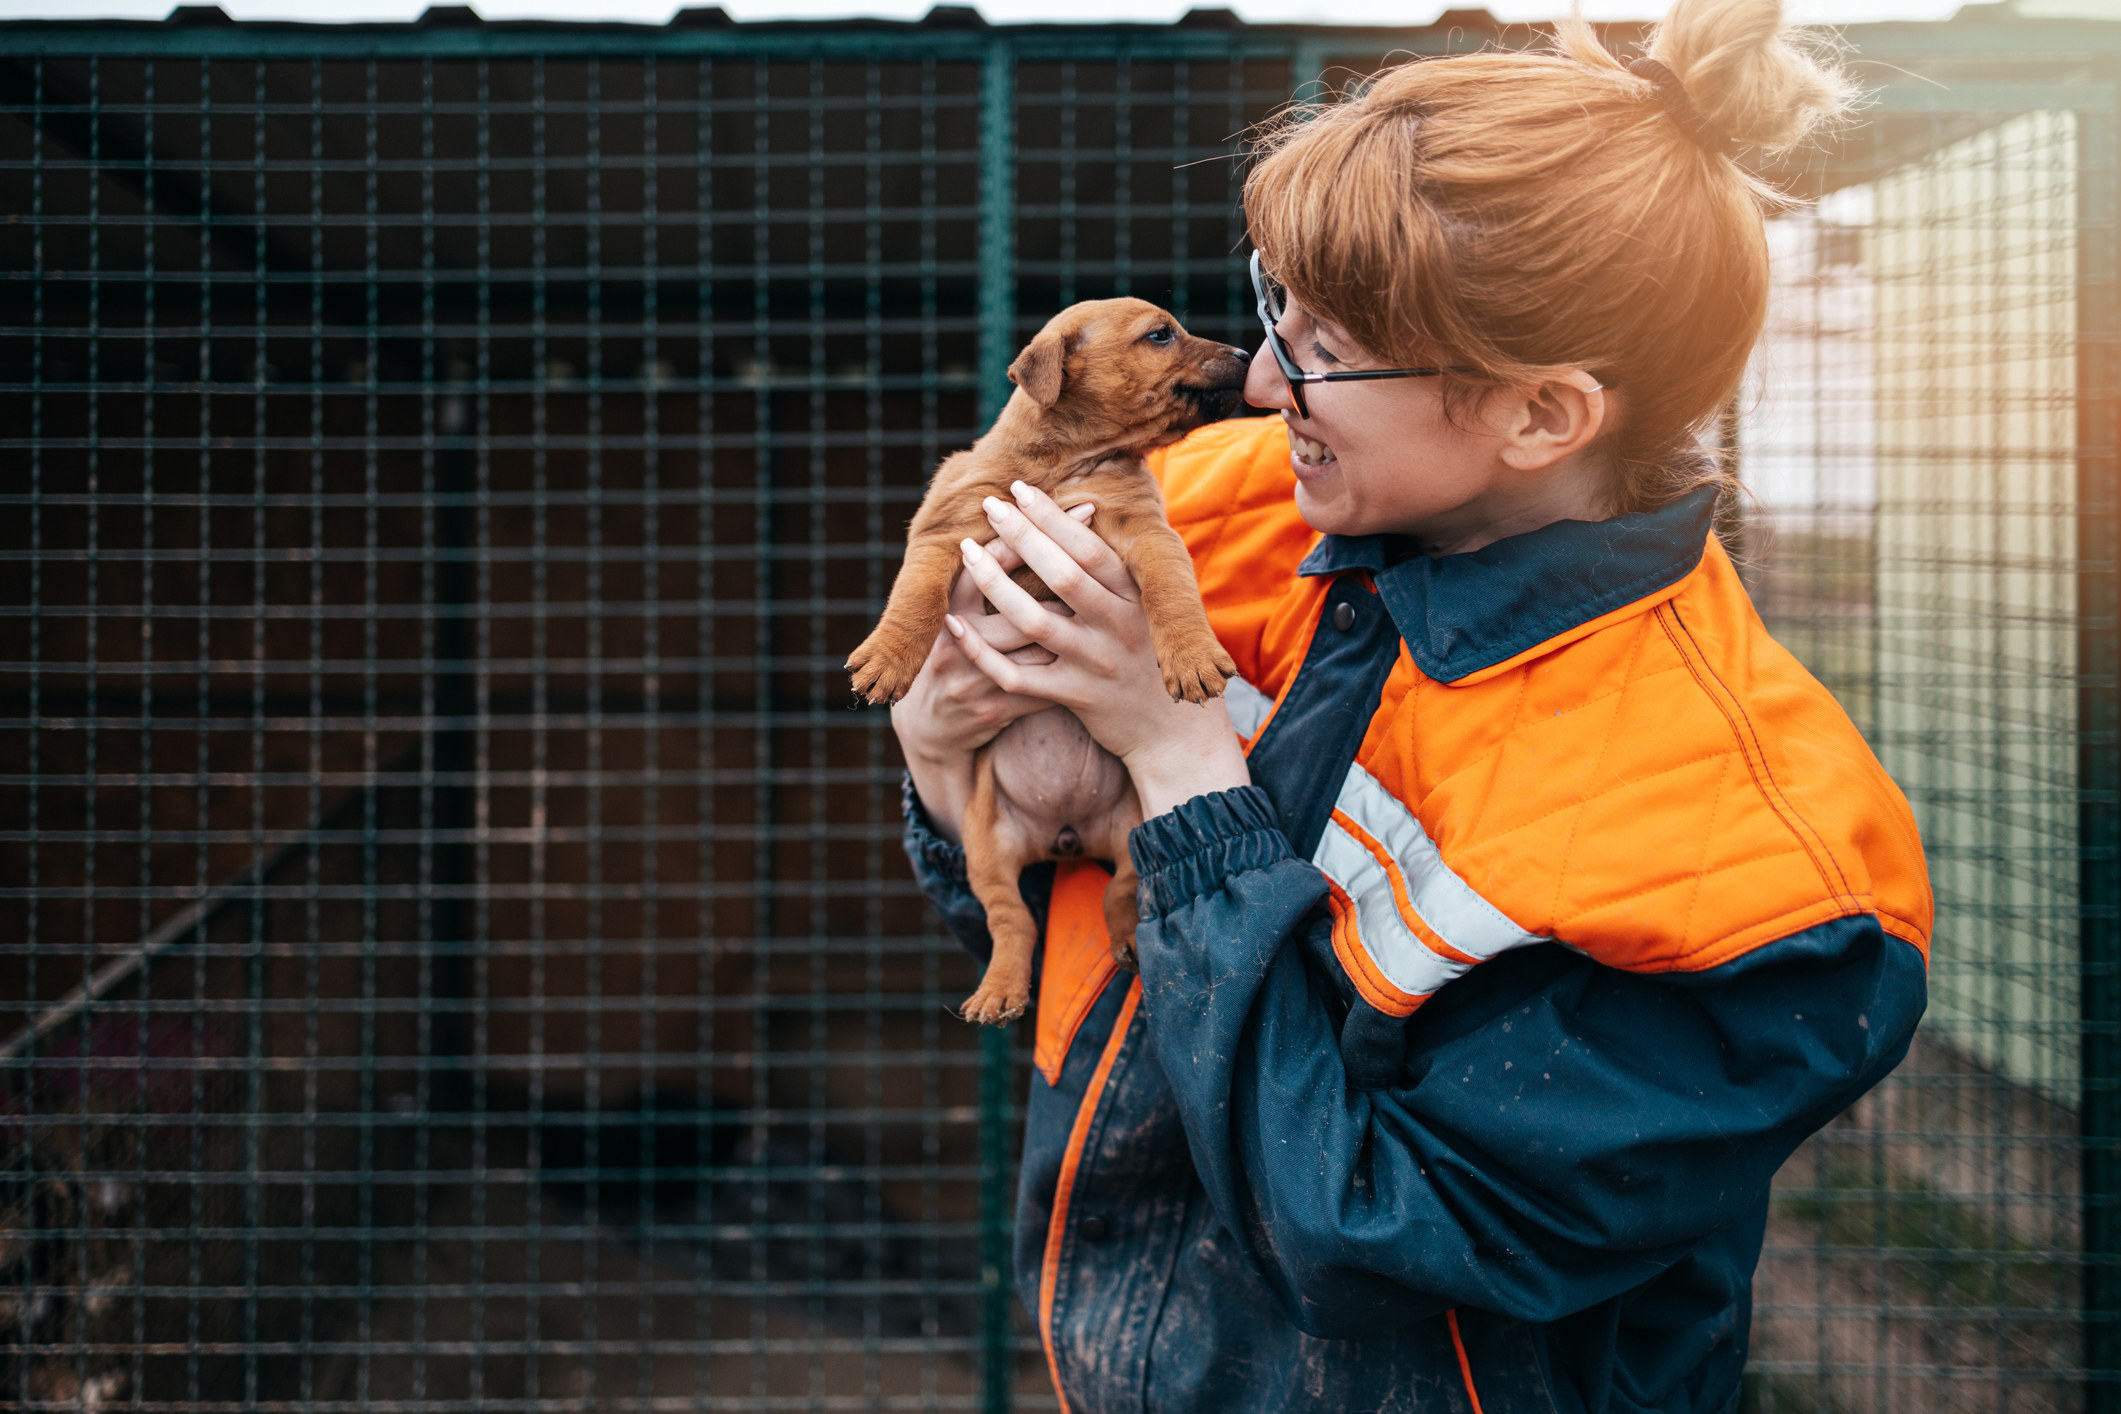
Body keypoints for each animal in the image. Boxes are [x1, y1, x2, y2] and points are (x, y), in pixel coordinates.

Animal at [844, 301, 1238, 1030]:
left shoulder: (1148, 532)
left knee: (1119, 895)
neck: (1064, 463)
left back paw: (1125, 948)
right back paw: (998, 991)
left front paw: (1192, 656)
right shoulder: (947, 530)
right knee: (1012, 924)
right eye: (1160, 335)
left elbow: (1172, 591)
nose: (1244, 351)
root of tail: (1067, 838)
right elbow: (916, 595)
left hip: (1138, 827)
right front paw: (888, 658)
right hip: (986, 847)